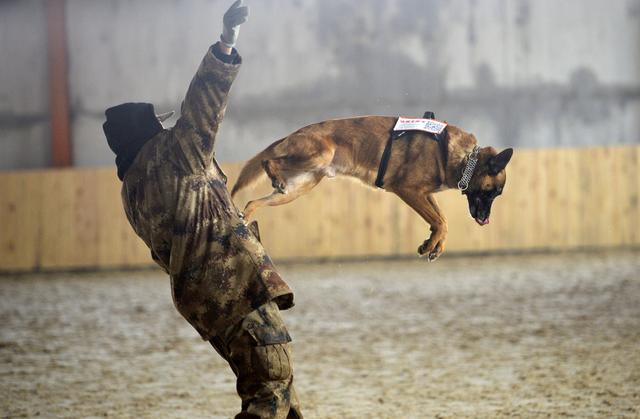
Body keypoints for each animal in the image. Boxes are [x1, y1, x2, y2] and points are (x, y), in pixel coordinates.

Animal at [232, 115, 512, 260]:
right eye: (491, 192)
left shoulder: (424, 194)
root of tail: (292, 133)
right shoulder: (408, 190)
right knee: (269, 161)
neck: (464, 158)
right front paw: (433, 243)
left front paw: (433, 245)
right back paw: (272, 175)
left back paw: (243, 221)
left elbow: (441, 220)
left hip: (296, 189)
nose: (485, 220)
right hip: (319, 155)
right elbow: (440, 221)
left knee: (252, 202)